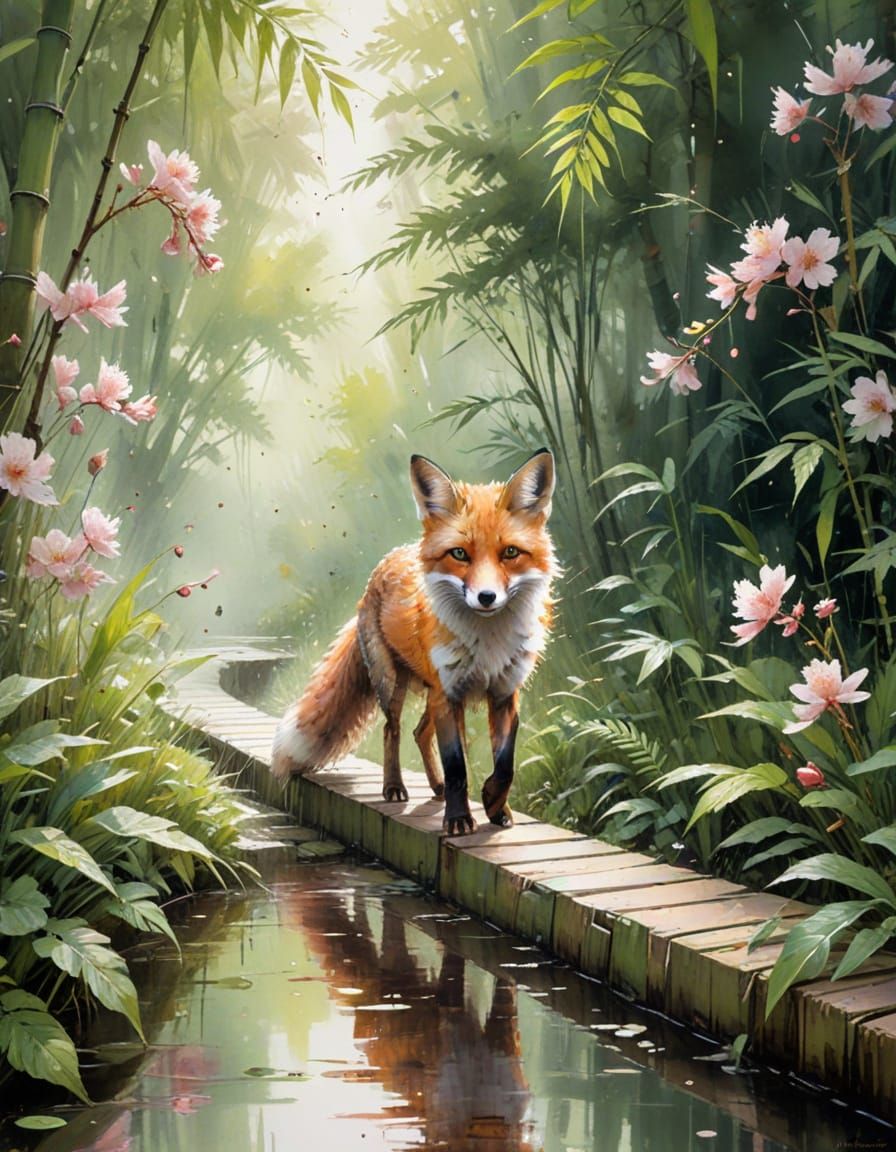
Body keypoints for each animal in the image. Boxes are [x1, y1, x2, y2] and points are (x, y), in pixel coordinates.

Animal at [271, 448, 557, 835]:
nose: (486, 597)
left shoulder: (503, 693)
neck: (487, 643)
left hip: (431, 694)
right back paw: (395, 787)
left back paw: (436, 787)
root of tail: (385, 563)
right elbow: (457, 767)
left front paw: (495, 807)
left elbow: (505, 766)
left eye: (510, 553)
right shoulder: (448, 695)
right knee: (392, 731)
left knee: (421, 733)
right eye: (460, 554)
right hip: (393, 685)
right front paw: (458, 819)